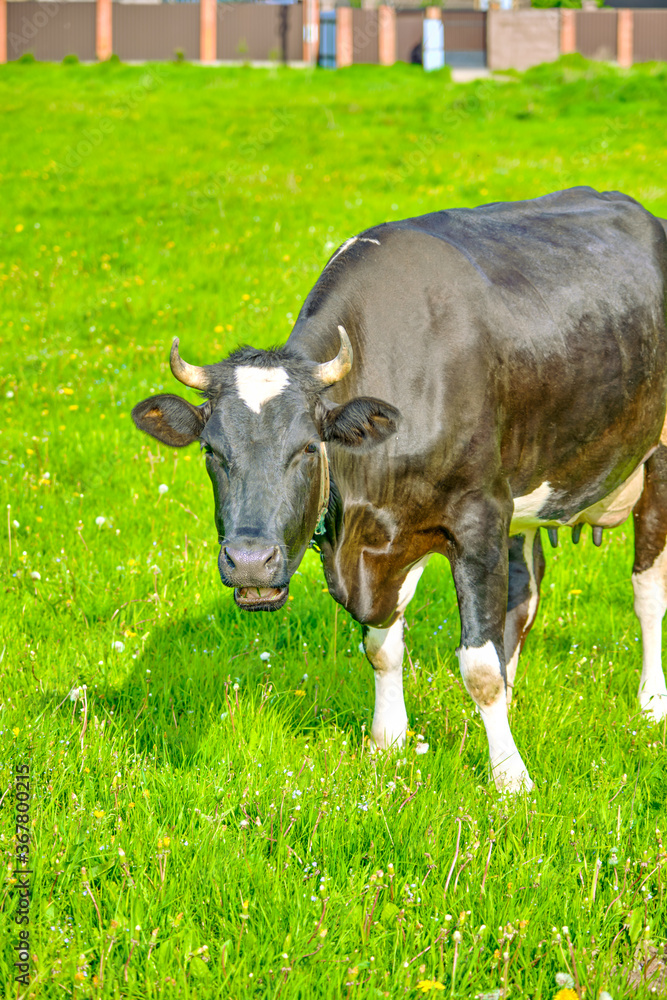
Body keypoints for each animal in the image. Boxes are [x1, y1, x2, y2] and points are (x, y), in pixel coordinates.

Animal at [133, 188, 667, 792]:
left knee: (648, 590)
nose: (250, 561)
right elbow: (382, 647)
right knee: (523, 594)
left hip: (656, 456)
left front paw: (510, 776)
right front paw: (387, 741)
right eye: (211, 451)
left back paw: (651, 702)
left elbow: (478, 666)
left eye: (308, 448)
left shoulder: (479, 514)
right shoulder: (398, 536)